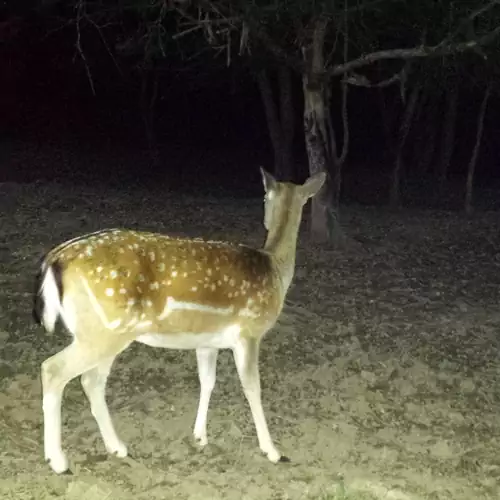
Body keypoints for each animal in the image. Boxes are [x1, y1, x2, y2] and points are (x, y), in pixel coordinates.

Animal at [33, 167, 326, 472]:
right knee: (54, 369)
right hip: (104, 332)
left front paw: (199, 436)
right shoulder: (250, 332)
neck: (275, 269)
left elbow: (207, 380)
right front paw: (273, 451)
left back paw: (117, 447)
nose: (266, 219)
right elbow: (252, 387)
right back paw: (58, 460)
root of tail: (55, 258)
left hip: (102, 332)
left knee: (90, 381)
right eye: (264, 197)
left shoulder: (207, 342)